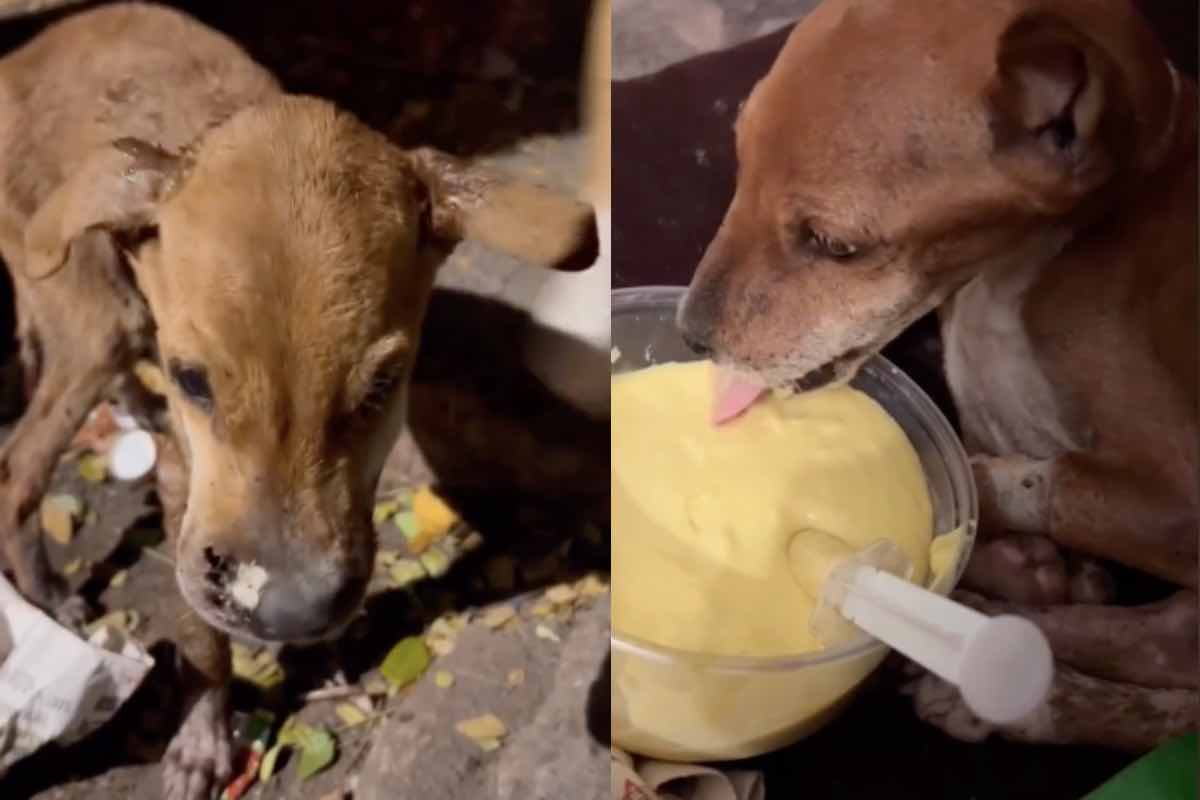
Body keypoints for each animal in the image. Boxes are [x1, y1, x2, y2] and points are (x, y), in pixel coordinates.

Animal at [0, 3, 595, 796]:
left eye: (383, 386)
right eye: (193, 379)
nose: (289, 616)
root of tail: (21, 56)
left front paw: (329, 654)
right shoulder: (186, 484)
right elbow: (202, 641)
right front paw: (202, 737)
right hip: (90, 315)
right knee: (18, 463)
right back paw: (45, 589)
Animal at [681, 0, 1195, 753]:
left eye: (837, 245)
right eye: (738, 161)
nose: (690, 332)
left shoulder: (1179, 494)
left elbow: (1029, 480)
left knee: (1167, 665)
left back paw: (1013, 692)